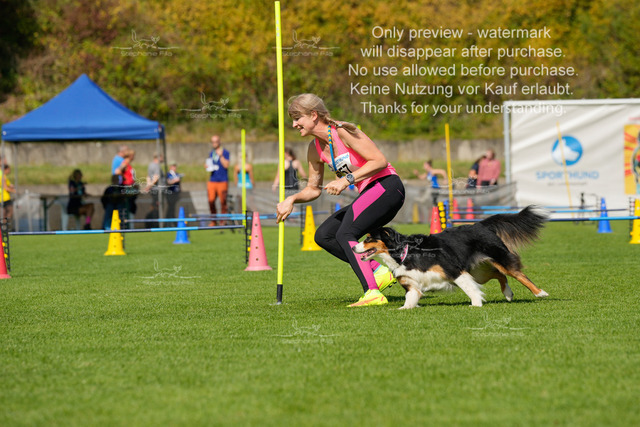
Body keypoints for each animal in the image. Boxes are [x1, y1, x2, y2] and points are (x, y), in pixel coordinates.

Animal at [352, 206, 550, 309]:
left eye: (369, 238)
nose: (353, 247)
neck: (403, 253)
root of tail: (481, 224)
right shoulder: (411, 283)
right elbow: (410, 298)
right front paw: (403, 309)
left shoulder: (454, 270)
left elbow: (470, 289)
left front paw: (476, 305)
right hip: (479, 272)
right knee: (499, 275)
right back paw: (508, 294)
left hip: (498, 259)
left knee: (517, 274)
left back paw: (540, 293)